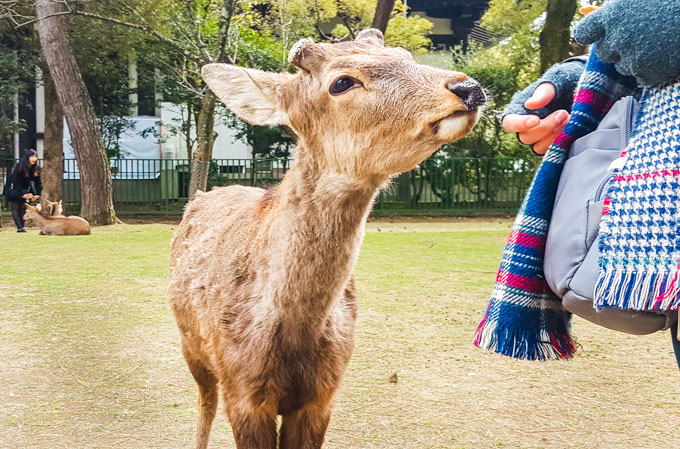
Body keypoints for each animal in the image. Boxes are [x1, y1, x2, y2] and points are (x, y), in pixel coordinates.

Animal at [169, 28, 486, 448]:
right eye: (342, 82)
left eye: (405, 55)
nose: (467, 87)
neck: (295, 338)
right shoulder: (243, 392)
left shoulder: (322, 394)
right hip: (193, 346)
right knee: (205, 401)